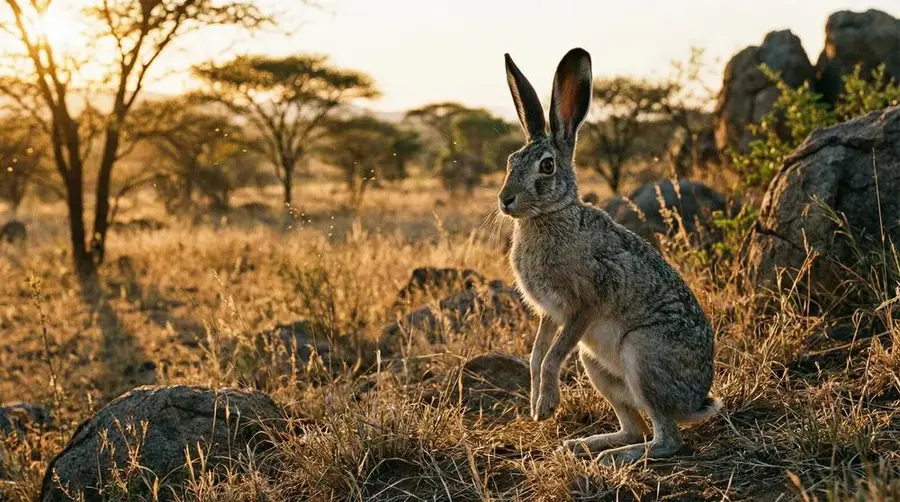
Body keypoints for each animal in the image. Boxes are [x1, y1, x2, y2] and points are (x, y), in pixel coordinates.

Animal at [499, 48, 721, 465]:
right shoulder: (550, 314)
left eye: (547, 166)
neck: (550, 215)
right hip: (594, 362)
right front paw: (537, 405)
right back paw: (584, 445)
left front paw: (546, 407)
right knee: (635, 425)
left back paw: (616, 457)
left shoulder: (584, 304)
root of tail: (696, 401)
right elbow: (536, 356)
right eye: (510, 160)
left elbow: (551, 356)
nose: (505, 200)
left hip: (640, 353)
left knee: (667, 438)